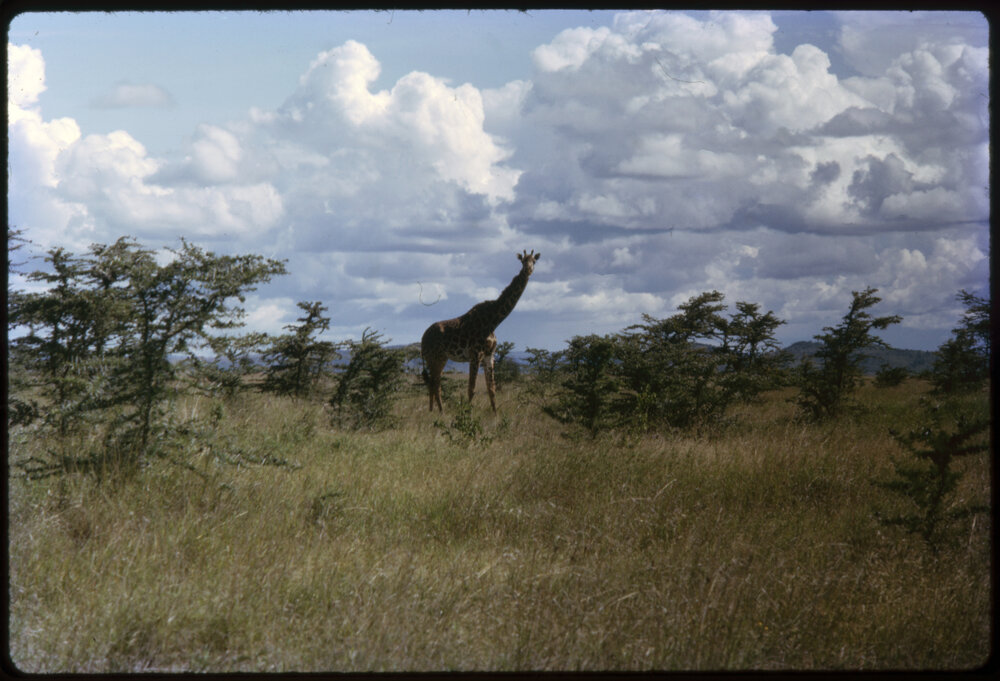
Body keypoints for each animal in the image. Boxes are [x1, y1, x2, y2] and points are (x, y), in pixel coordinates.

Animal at [421, 249, 541, 412]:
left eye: (534, 261)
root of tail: (423, 338)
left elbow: (492, 389)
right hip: (434, 357)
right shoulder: (475, 355)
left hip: (441, 358)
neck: (493, 322)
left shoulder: (489, 355)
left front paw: (495, 415)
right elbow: (471, 389)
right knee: (434, 383)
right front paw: (467, 413)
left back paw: (435, 411)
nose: (528, 270)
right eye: (523, 261)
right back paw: (440, 412)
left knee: (434, 383)